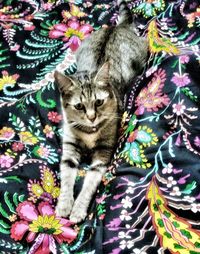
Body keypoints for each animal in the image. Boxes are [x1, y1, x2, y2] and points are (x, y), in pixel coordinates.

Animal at [54, 0, 148, 222]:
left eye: (98, 102)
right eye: (79, 106)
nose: (91, 117)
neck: (90, 132)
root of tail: (117, 26)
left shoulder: (103, 152)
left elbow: (89, 183)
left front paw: (78, 210)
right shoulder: (70, 146)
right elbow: (67, 177)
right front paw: (64, 205)